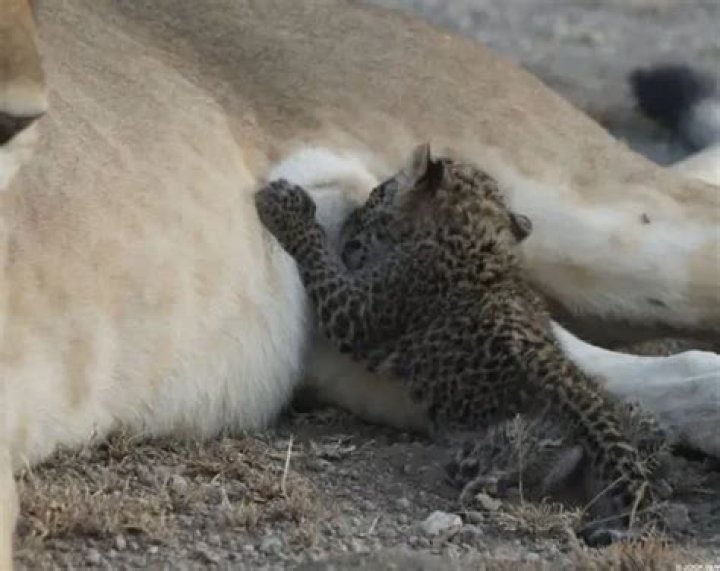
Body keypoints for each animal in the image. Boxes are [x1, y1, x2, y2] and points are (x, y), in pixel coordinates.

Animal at [255, 143, 668, 543]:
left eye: (377, 192)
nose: (354, 214)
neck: (473, 230)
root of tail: (597, 417)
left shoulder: (357, 310)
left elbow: (319, 256)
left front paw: (286, 205)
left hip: (508, 440)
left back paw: (486, 485)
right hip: (637, 420)